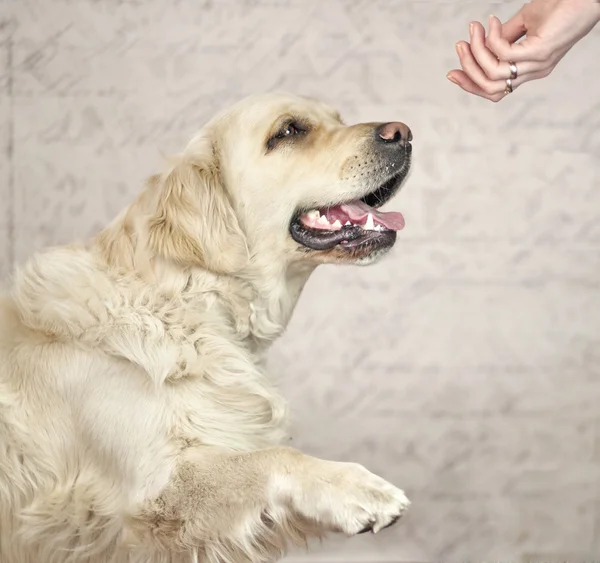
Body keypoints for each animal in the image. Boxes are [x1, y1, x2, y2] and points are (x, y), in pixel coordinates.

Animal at [0, 92, 412, 563]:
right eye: (288, 130)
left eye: (338, 119)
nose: (403, 132)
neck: (187, 303)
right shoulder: (151, 492)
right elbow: (273, 457)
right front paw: (358, 489)